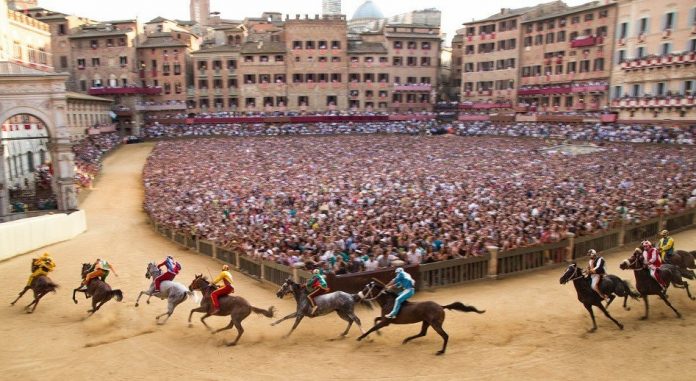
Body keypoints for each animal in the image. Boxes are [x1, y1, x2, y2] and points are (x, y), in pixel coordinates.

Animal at [354, 280, 484, 356]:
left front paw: (360, 337)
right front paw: (378, 333)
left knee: (445, 336)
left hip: (435, 324)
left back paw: (441, 351)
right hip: (426, 322)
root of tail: (441, 306)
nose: (358, 296)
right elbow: (375, 320)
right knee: (422, 333)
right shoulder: (385, 319)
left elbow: (372, 327)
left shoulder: (386, 321)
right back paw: (406, 340)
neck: (388, 301)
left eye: (365, 289)